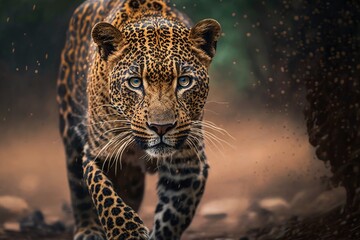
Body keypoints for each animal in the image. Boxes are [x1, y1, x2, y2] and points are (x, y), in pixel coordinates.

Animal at [57, 0, 219, 239]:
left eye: (184, 81)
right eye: (135, 82)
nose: (161, 127)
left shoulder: (187, 166)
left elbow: (172, 218)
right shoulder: (97, 153)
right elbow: (104, 195)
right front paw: (126, 231)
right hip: (70, 130)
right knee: (77, 187)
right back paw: (88, 229)